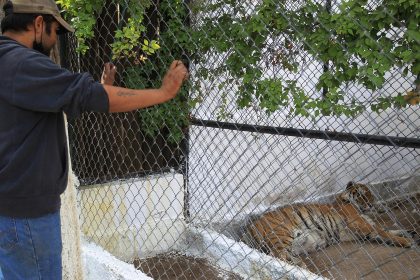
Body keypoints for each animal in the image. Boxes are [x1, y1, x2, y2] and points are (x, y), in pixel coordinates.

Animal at [241, 182, 418, 264]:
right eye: (362, 195)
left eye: (370, 195)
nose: (370, 204)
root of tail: (249, 228)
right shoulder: (360, 224)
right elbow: (385, 232)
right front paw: (406, 241)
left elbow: (388, 230)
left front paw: (411, 233)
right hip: (280, 234)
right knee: (278, 255)